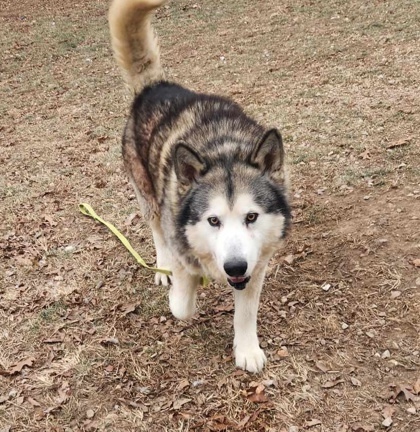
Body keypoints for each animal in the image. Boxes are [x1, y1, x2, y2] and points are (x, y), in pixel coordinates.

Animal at [110, 0, 290, 372]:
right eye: (213, 220)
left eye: (252, 217)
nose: (233, 267)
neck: (222, 149)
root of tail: (154, 86)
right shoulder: (184, 247)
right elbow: (182, 306)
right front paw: (184, 288)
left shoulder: (256, 266)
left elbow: (245, 313)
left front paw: (247, 349)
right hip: (148, 197)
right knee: (157, 232)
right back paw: (163, 266)